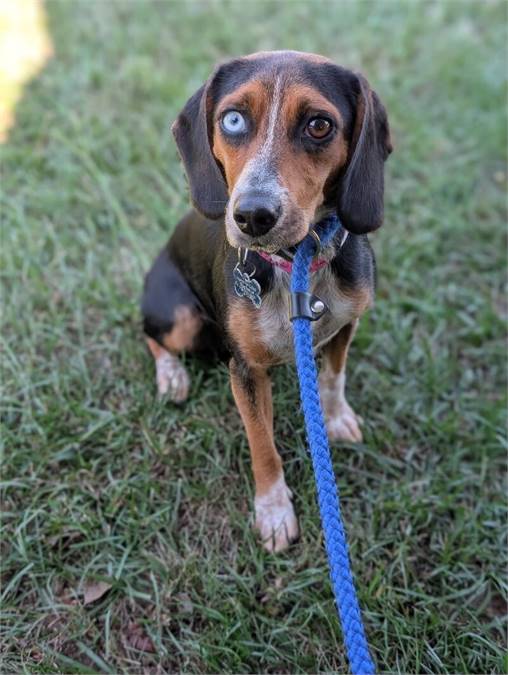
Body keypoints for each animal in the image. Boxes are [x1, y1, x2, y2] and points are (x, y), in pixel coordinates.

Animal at [142, 48, 392, 556]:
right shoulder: (246, 370)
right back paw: (171, 376)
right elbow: (262, 444)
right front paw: (274, 511)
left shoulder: (346, 325)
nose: (253, 216)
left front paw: (336, 419)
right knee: (146, 331)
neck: (298, 263)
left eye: (319, 125)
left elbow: (333, 379)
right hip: (181, 318)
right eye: (233, 119)